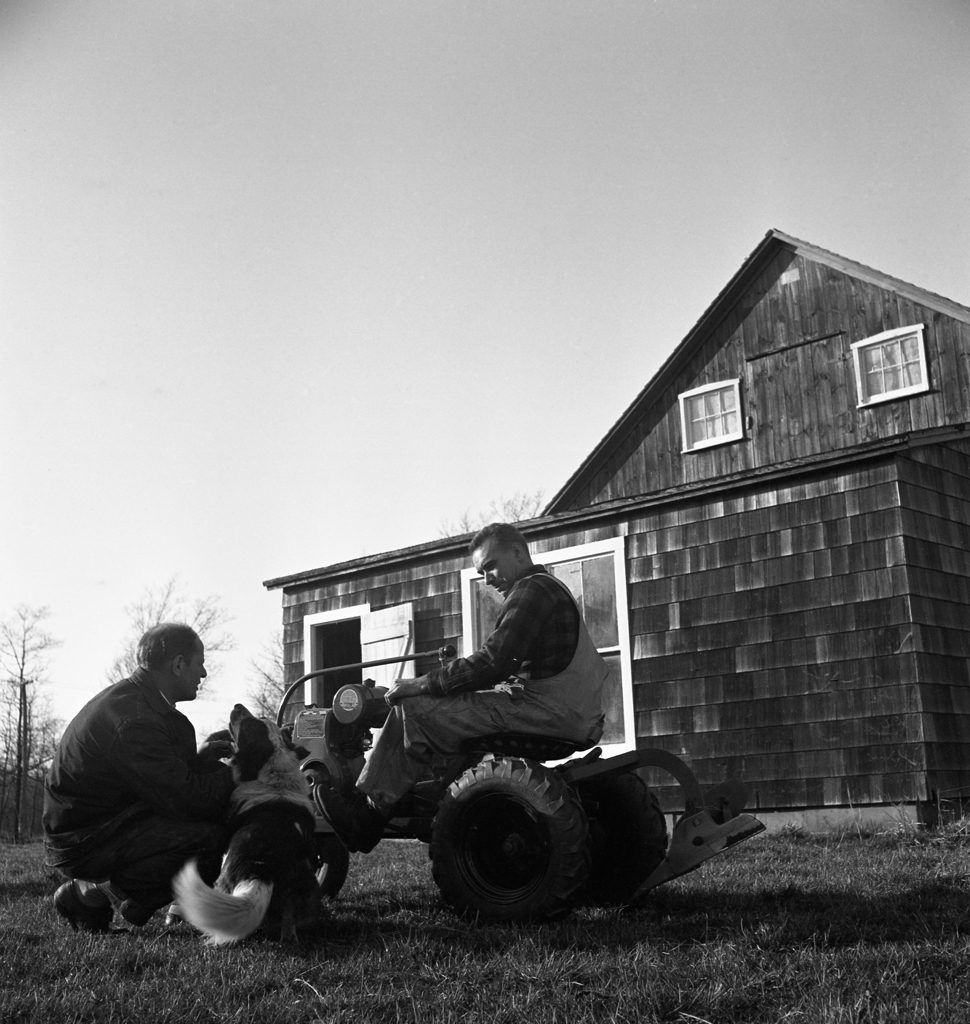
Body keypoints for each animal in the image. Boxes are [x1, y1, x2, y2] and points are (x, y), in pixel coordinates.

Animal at [172, 704, 319, 942]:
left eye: (249, 726)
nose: (237, 706)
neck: (275, 779)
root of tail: (261, 868)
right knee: (289, 921)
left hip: (221, 886)